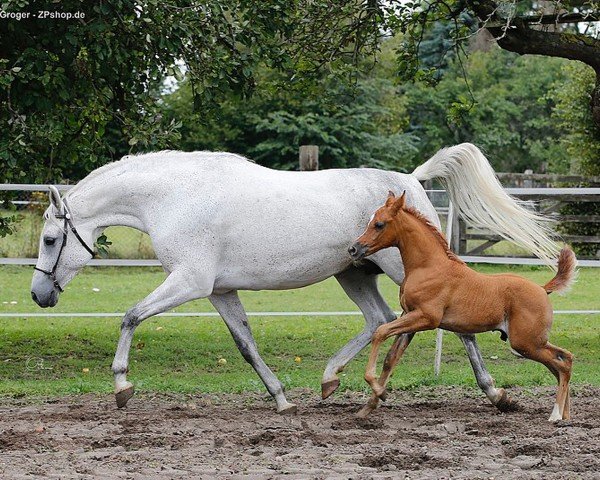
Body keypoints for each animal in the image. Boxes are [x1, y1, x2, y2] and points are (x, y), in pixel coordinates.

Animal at [31, 142, 556, 412]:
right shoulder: (219, 290)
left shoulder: (190, 282)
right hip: (355, 273)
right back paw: (329, 380)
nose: (38, 295)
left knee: (452, 321)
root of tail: (408, 181)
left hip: (399, 268)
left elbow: (130, 316)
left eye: (51, 240)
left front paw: (122, 387)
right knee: (378, 320)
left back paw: (495, 393)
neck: (176, 196)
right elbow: (245, 345)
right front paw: (281, 399)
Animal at [350, 190, 580, 420]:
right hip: (533, 342)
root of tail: (542, 288)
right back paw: (566, 416)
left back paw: (555, 415)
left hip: (525, 343)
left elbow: (380, 332)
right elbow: (390, 358)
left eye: (379, 224)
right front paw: (368, 406)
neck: (428, 266)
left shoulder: (426, 318)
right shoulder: (409, 316)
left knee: (561, 364)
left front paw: (380, 391)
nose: (353, 249)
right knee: (565, 359)